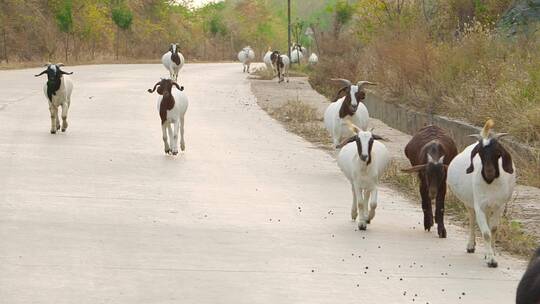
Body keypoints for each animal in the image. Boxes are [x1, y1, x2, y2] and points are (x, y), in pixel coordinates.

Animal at [446, 120, 516, 268]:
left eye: (498, 152)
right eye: (479, 153)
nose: (489, 172)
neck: (490, 182)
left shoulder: (499, 206)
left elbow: (493, 229)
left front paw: (492, 254)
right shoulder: (479, 206)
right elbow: (486, 233)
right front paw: (491, 260)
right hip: (470, 203)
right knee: (472, 219)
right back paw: (471, 246)